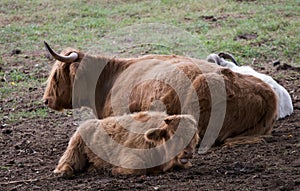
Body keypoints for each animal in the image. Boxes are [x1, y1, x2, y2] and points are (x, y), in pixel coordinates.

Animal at [53, 111, 199, 177]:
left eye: (194, 137)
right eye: (175, 135)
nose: (188, 153)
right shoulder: (130, 158)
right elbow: (137, 168)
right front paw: (113, 170)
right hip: (74, 151)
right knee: (65, 164)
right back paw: (64, 172)